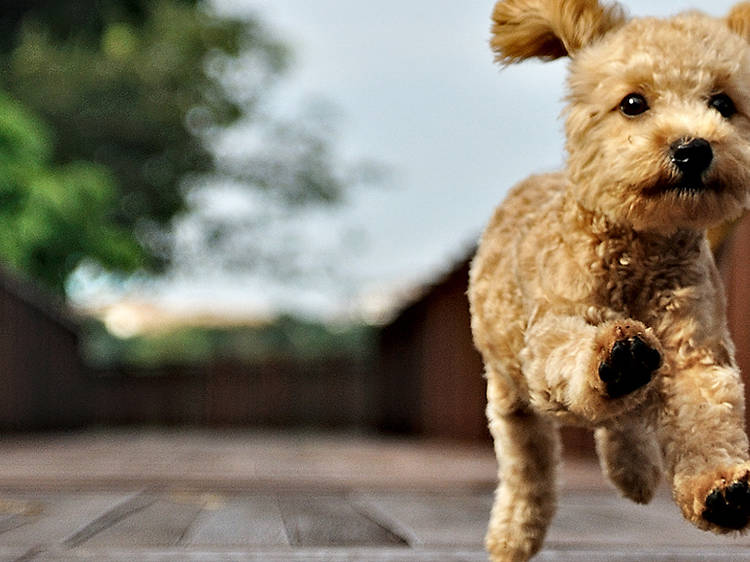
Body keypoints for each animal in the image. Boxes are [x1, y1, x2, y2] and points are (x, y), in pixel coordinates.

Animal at [470, 2, 750, 556]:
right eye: (633, 103)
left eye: (723, 103)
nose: (693, 148)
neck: (641, 251)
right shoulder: (549, 332)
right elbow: (573, 355)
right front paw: (617, 359)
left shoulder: (696, 351)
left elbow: (708, 415)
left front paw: (723, 492)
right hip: (509, 393)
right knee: (528, 460)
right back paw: (514, 535)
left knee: (623, 423)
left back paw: (634, 473)